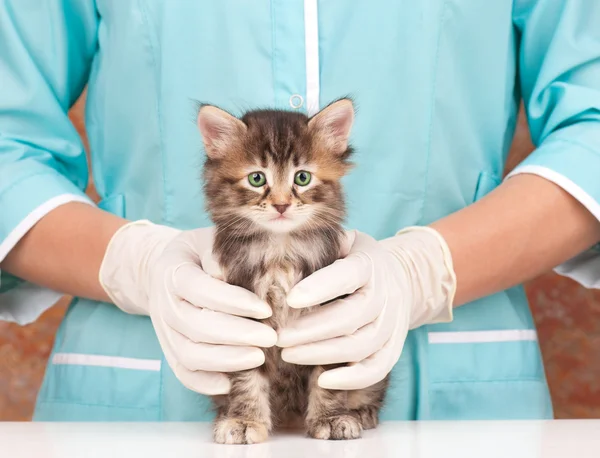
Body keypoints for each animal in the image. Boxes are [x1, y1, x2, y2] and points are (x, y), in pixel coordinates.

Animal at [195, 99, 386, 444]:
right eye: (257, 179)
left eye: (302, 178)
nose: (282, 205)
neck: (279, 252)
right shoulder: (241, 321)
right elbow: (246, 378)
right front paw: (244, 420)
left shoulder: (331, 319)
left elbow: (328, 375)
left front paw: (331, 418)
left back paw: (361, 412)